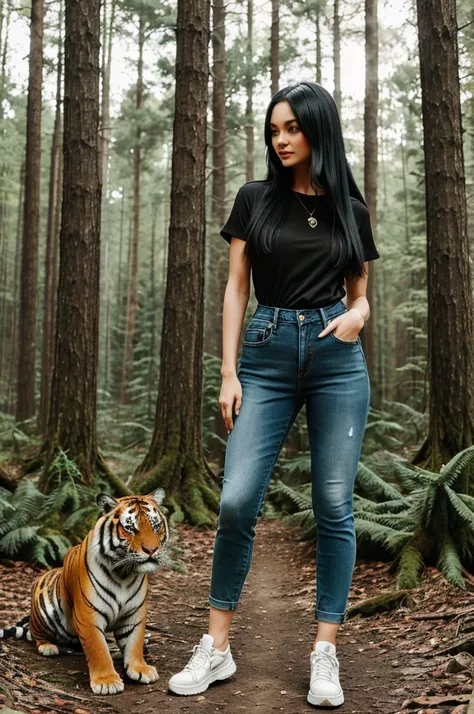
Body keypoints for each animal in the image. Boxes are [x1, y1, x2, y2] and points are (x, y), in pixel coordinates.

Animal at [0, 486, 169, 692]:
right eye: (130, 528)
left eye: (156, 526)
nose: (151, 550)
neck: (124, 574)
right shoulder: (88, 615)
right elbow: (98, 649)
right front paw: (107, 682)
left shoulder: (134, 613)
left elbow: (134, 642)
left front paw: (140, 669)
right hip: (42, 612)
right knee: (36, 634)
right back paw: (48, 647)